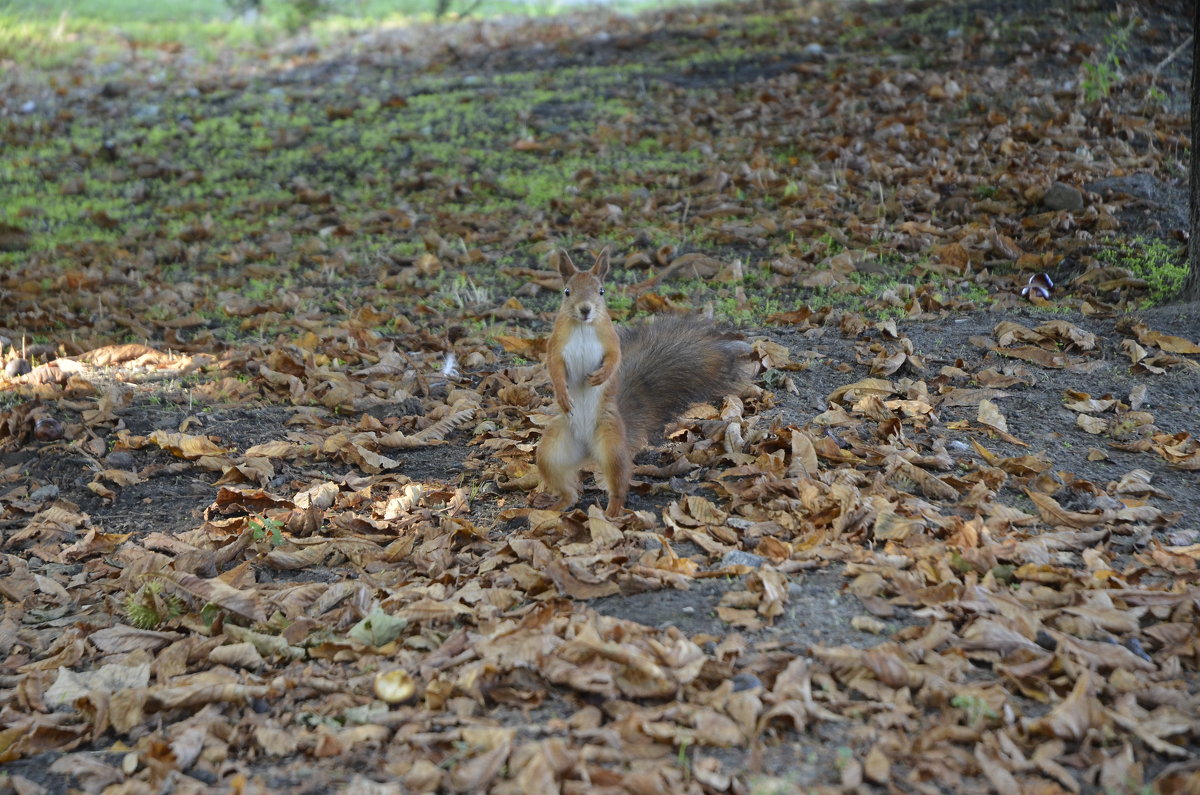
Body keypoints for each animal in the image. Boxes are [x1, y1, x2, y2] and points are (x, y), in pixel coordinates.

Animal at [537, 252, 748, 521]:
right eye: (566, 291)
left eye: (601, 291)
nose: (585, 309)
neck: (583, 328)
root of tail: (588, 451)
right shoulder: (556, 345)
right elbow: (554, 368)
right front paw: (563, 396)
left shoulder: (611, 340)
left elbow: (614, 359)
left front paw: (601, 376)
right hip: (552, 453)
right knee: (568, 490)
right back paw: (557, 506)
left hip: (612, 446)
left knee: (619, 483)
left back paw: (612, 511)